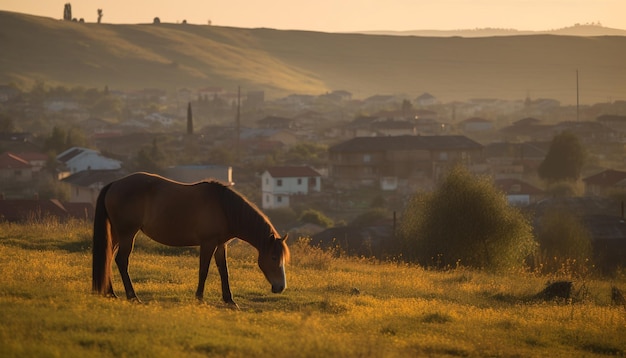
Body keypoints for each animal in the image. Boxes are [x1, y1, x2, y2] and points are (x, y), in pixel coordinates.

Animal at [91, 172, 288, 306]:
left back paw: (110, 293)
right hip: (127, 234)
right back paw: (132, 296)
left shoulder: (220, 245)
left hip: (117, 234)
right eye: (273, 257)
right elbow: (204, 270)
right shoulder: (208, 243)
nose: (280, 287)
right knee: (121, 260)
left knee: (109, 257)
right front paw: (199, 298)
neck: (223, 208)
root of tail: (114, 184)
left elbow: (224, 271)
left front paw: (230, 300)